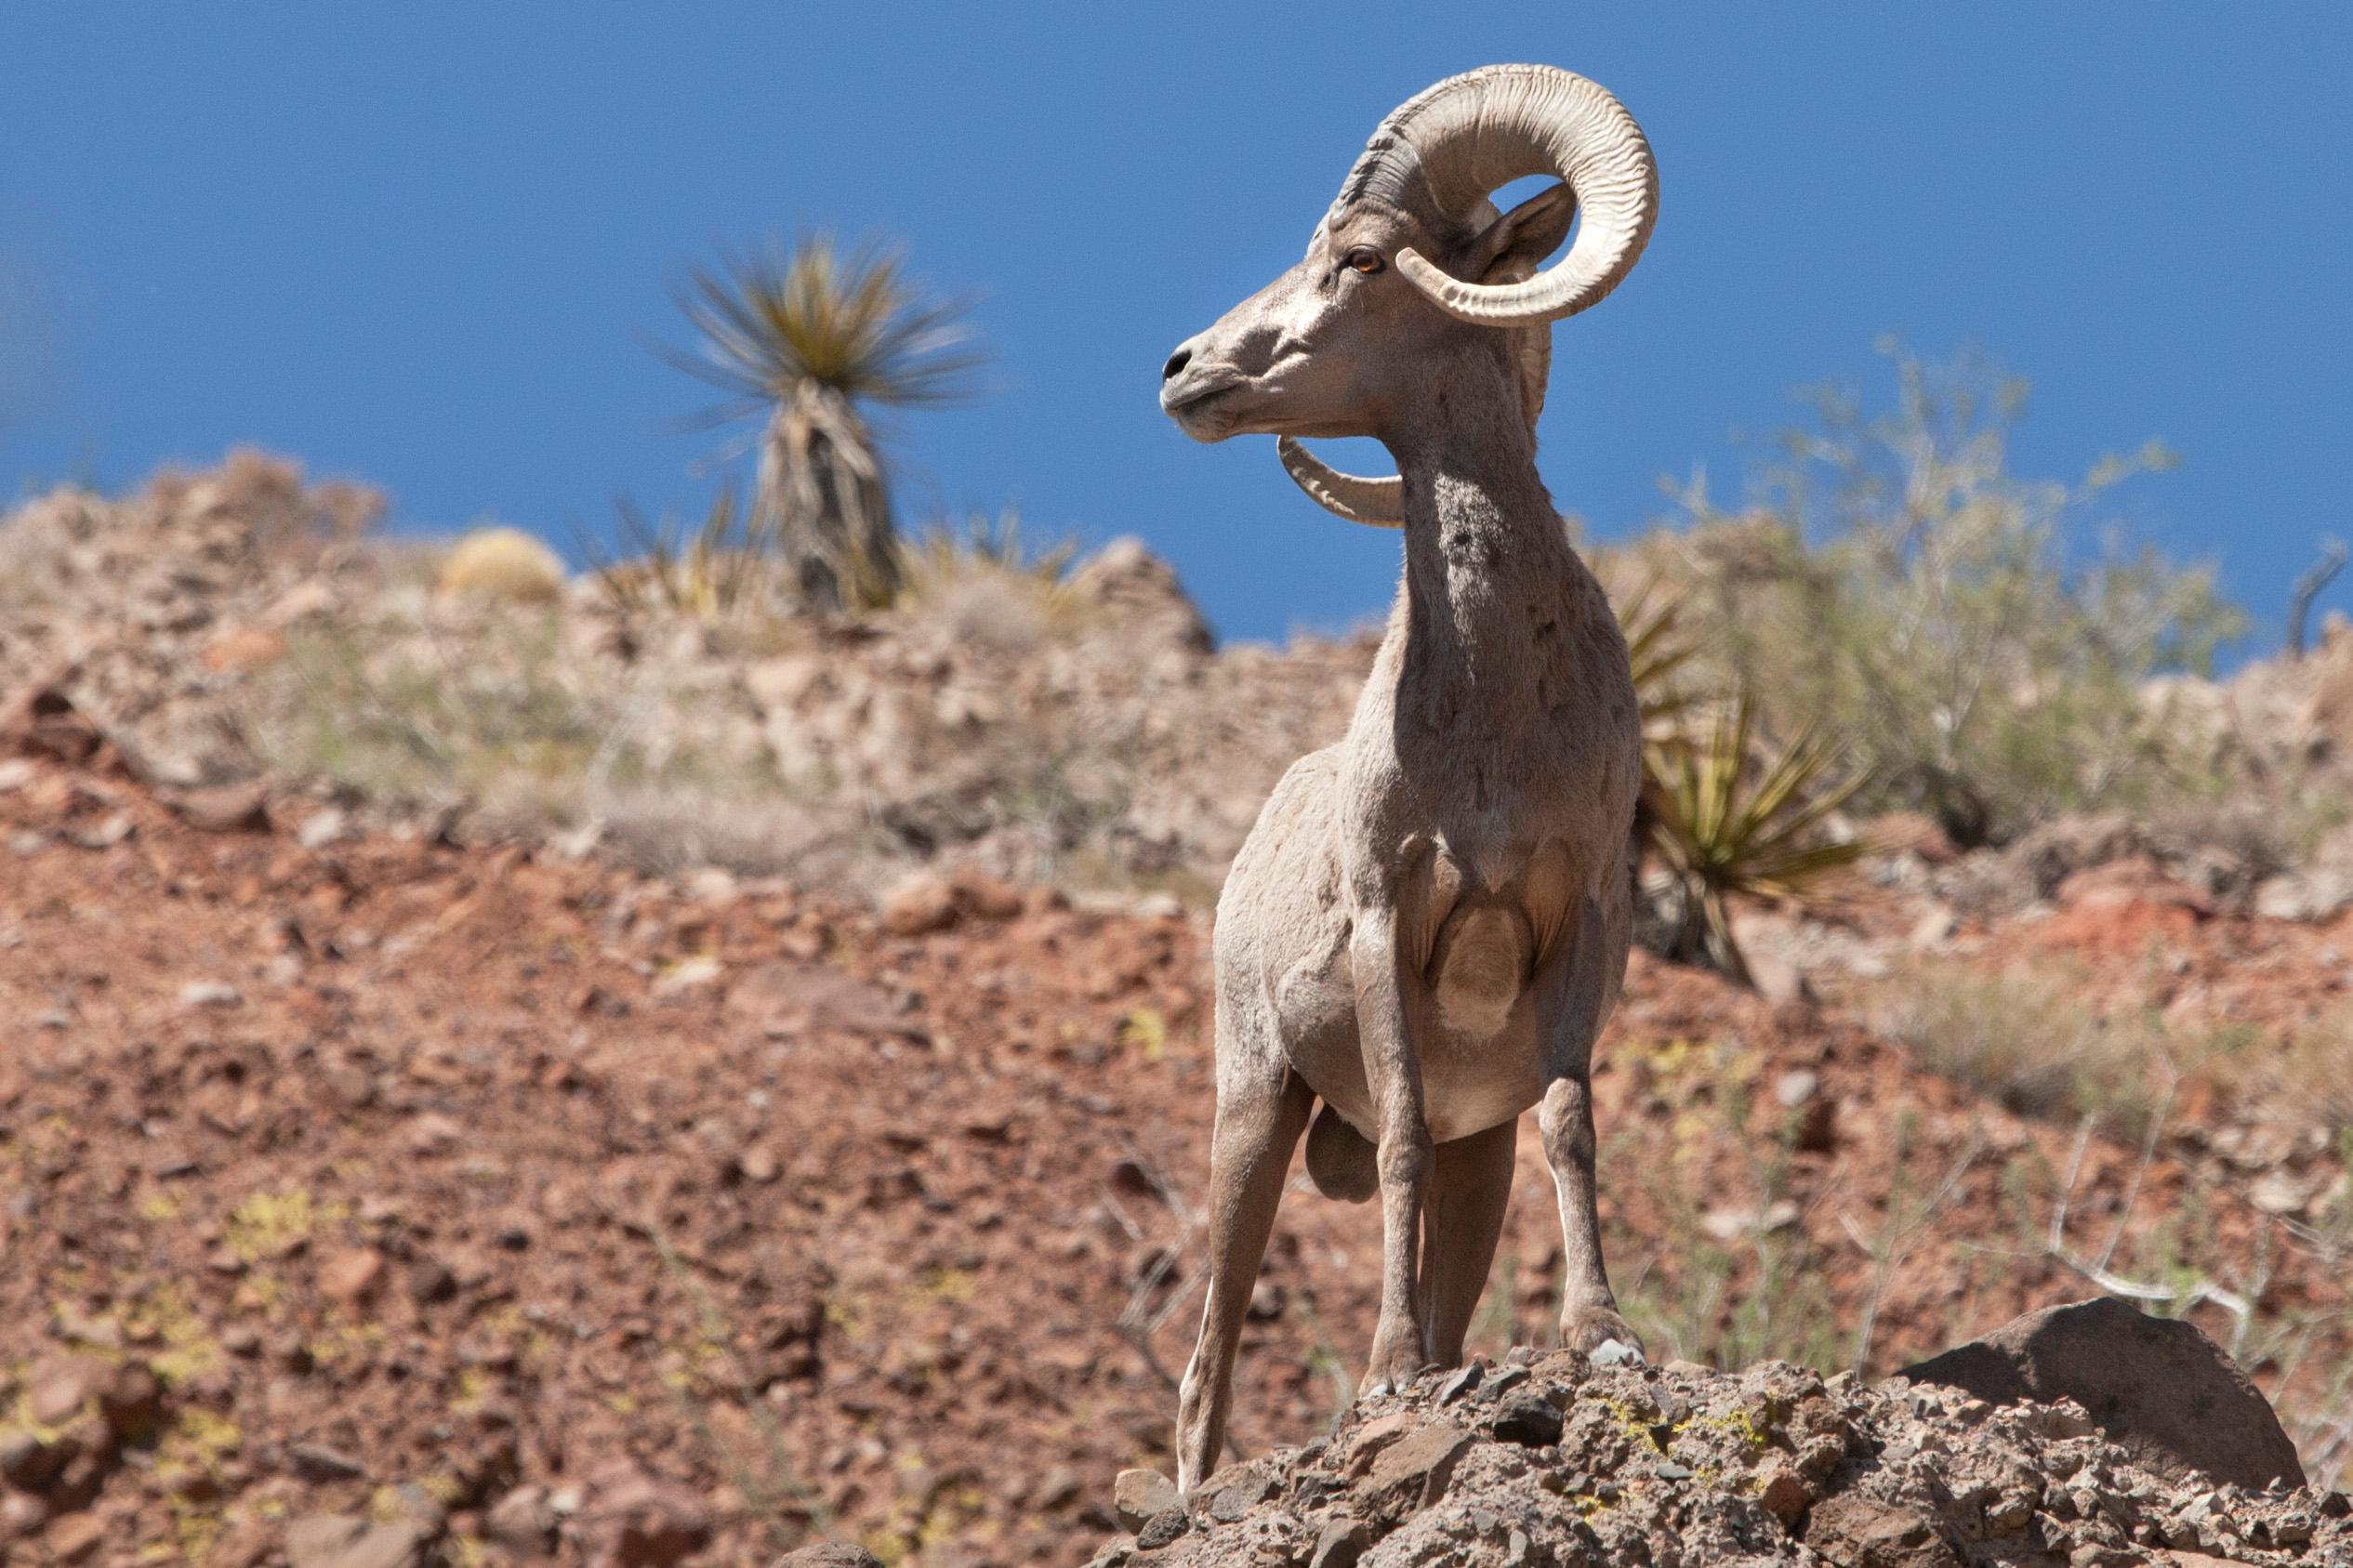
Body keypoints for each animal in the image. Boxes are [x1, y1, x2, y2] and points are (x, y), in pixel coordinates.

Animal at [1157, 61, 1656, 1495]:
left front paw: (1604, 1339)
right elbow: (1393, 1143)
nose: (1184, 370)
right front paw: (1384, 1377)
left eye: (1363, 259)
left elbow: (1569, 1124)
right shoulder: (1392, 915)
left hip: (1468, 1163)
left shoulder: (1574, 926)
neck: (1491, 722)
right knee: (1205, 1357)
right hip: (1251, 1110)